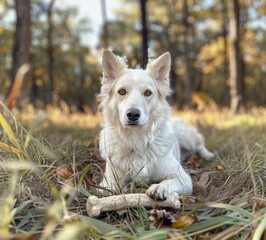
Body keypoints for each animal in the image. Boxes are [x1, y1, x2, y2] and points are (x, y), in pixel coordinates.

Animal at [98, 49, 213, 200]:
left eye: (147, 93)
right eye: (122, 91)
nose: (133, 114)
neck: (137, 140)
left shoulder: (183, 179)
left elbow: (168, 182)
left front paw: (159, 187)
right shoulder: (110, 177)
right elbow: (107, 188)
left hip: (188, 139)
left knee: (199, 144)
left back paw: (207, 154)